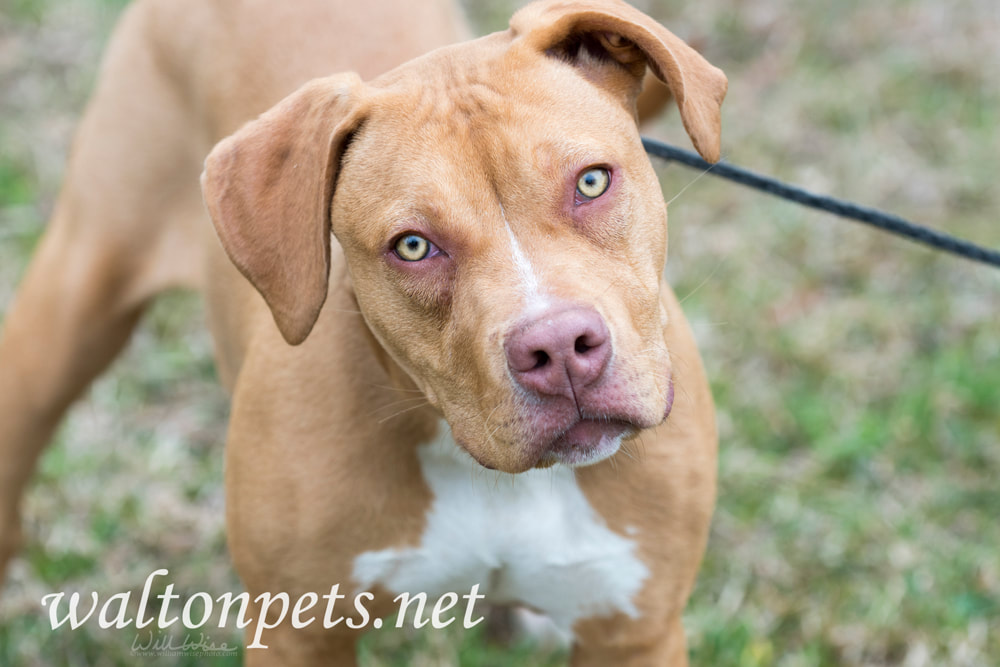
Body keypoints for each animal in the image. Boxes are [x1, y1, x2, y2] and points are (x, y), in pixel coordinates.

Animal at [0, 0, 724, 664]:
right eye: (413, 246)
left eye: (592, 181)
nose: (559, 349)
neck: (474, 459)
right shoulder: (295, 632)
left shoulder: (635, 631)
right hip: (73, 300)